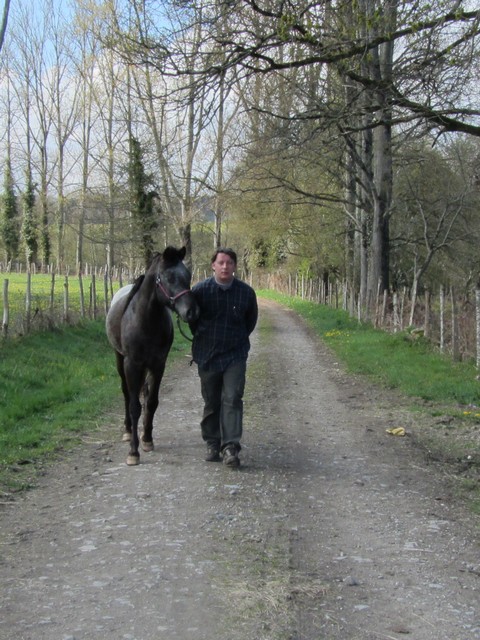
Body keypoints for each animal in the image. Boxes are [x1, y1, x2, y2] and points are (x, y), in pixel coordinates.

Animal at [106, 246, 200, 466]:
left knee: (145, 393)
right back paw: (128, 430)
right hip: (120, 360)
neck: (145, 321)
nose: (192, 312)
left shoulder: (158, 364)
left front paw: (147, 439)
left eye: (188, 275)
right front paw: (133, 452)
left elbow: (152, 402)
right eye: (168, 277)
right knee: (126, 393)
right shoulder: (132, 364)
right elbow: (134, 406)